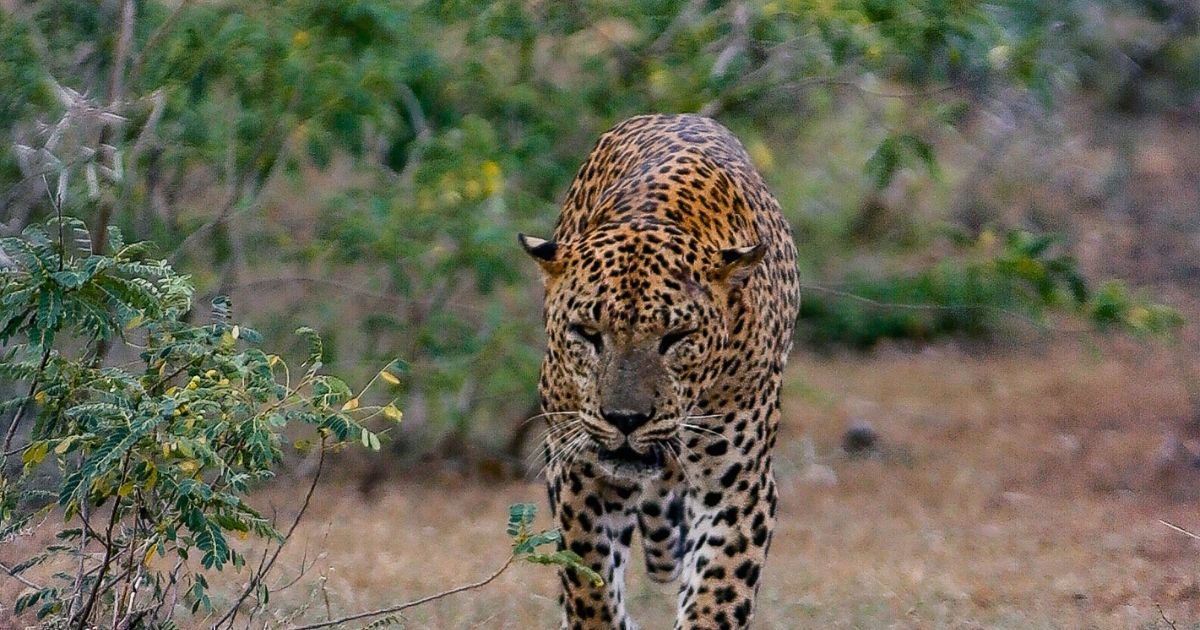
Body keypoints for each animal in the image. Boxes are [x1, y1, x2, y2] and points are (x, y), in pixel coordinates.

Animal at [519, 113, 800, 630]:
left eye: (676, 337)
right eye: (588, 333)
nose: (626, 420)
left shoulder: (740, 486)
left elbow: (717, 596)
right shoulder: (577, 470)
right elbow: (589, 585)